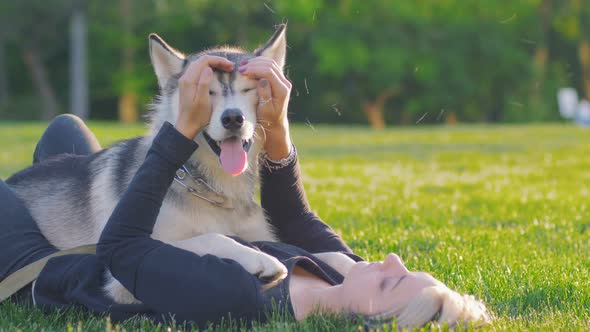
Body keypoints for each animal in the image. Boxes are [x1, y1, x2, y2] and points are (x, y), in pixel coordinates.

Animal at [5, 25, 292, 304]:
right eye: (205, 92)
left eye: (248, 90)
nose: (233, 118)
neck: (217, 191)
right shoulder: (122, 277)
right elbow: (212, 237)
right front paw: (260, 259)